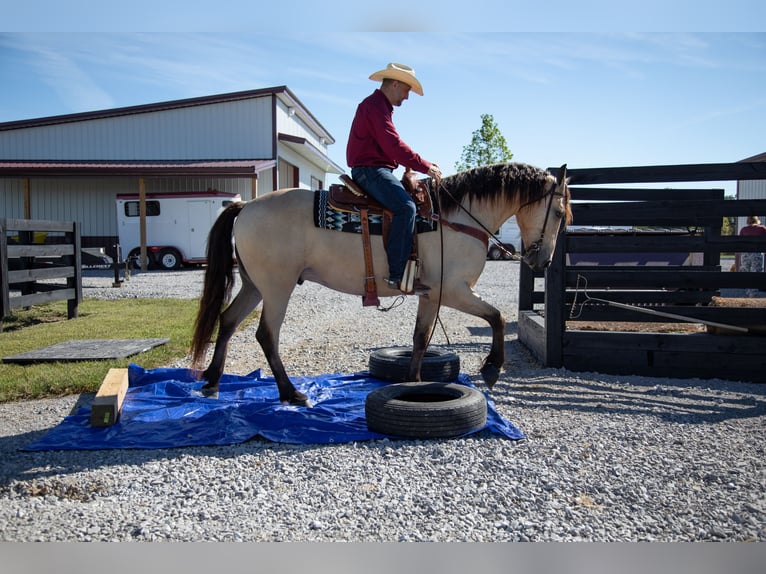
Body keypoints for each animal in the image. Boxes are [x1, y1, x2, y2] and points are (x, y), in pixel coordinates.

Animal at [190, 162, 572, 406]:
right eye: (557, 213)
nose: (543, 262)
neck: (456, 218)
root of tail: (245, 205)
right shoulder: (453, 290)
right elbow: (496, 317)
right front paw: (492, 368)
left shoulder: (431, 296)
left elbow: (420, 338)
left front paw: (414, 382)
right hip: (276, 288)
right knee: (266, 335)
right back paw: (290, 393)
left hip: (254, 286)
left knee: (227, 321)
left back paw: (212, 381)